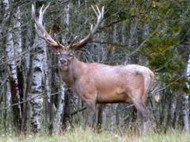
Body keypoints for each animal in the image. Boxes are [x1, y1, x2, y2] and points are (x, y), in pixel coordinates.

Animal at [31, 3, 154, 132]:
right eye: (58, 54)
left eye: (71, 54)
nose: (62, 61)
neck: (77, 79)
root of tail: (150, 73)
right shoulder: (98, 101)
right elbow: (95, 123)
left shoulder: (90, 96)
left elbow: (89, 123)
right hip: (144, 96)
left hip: (136, 95)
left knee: (147, 116)